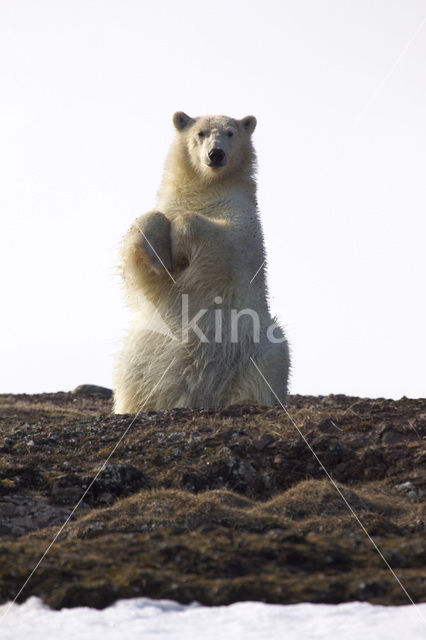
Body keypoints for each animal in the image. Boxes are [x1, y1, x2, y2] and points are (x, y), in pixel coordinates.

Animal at [112, 112, 290, 412]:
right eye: (201, 133)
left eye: (230, 133)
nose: (216, 154)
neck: (206, 190)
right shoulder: (169, 205)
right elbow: (143, 242)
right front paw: (159, 257)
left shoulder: (242, 221)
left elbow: (226, 241)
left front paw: (180, 246)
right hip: (144, 352)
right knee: (133, 377)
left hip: (256, 345)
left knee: (269, 364)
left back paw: (247, 399)